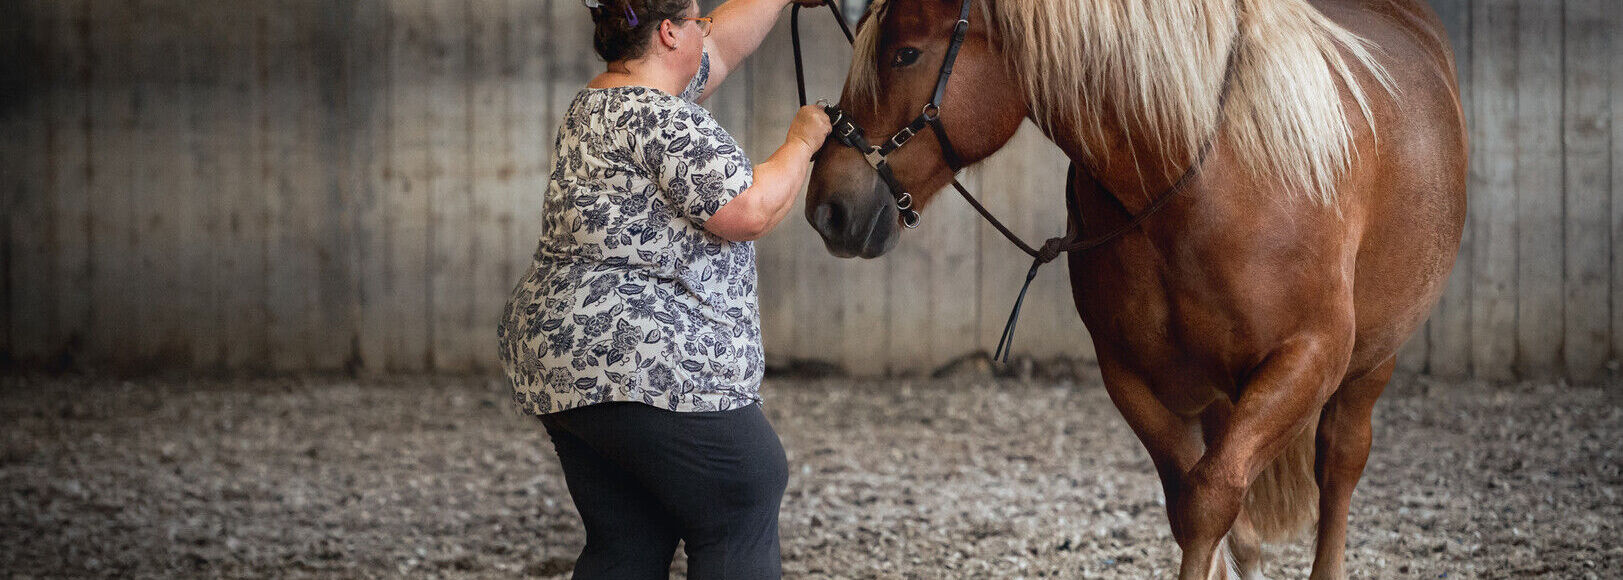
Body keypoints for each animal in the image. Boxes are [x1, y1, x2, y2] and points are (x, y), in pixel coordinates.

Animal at [805, 1, 1467, 578]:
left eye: (906, 53)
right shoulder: (1129, 372)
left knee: (1338, 465)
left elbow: (1209, 500)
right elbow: (1188, 500)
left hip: (1371, 364)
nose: (827, 208)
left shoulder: (1308, 359)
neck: (1202, 178)